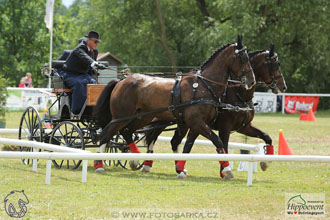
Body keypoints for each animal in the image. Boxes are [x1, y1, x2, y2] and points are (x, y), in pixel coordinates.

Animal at [94, 36, 256, 176]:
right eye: (243, 58)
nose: (252, 81)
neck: (204, 85)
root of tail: (120, 81)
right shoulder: (197, 122)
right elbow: (217, 140)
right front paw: (227, 169)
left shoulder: (197, 124)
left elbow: (187, 145)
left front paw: (180, 168)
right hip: (121, 117)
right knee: (106, 134)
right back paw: (99, 164)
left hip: (142, 117)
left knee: (127, 132)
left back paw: (136, 159)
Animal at [143, 43, 288, 179]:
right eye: (274, 65)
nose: (283, 86)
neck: (237, 93)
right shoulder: (223, 127)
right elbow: (223, 145)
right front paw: (225, 170)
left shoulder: (243, 127)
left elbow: (266, 136)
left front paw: (265, 162)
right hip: (160, 119)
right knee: (152, 138)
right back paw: (146, 164)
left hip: (181, 123)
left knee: (173, 141)